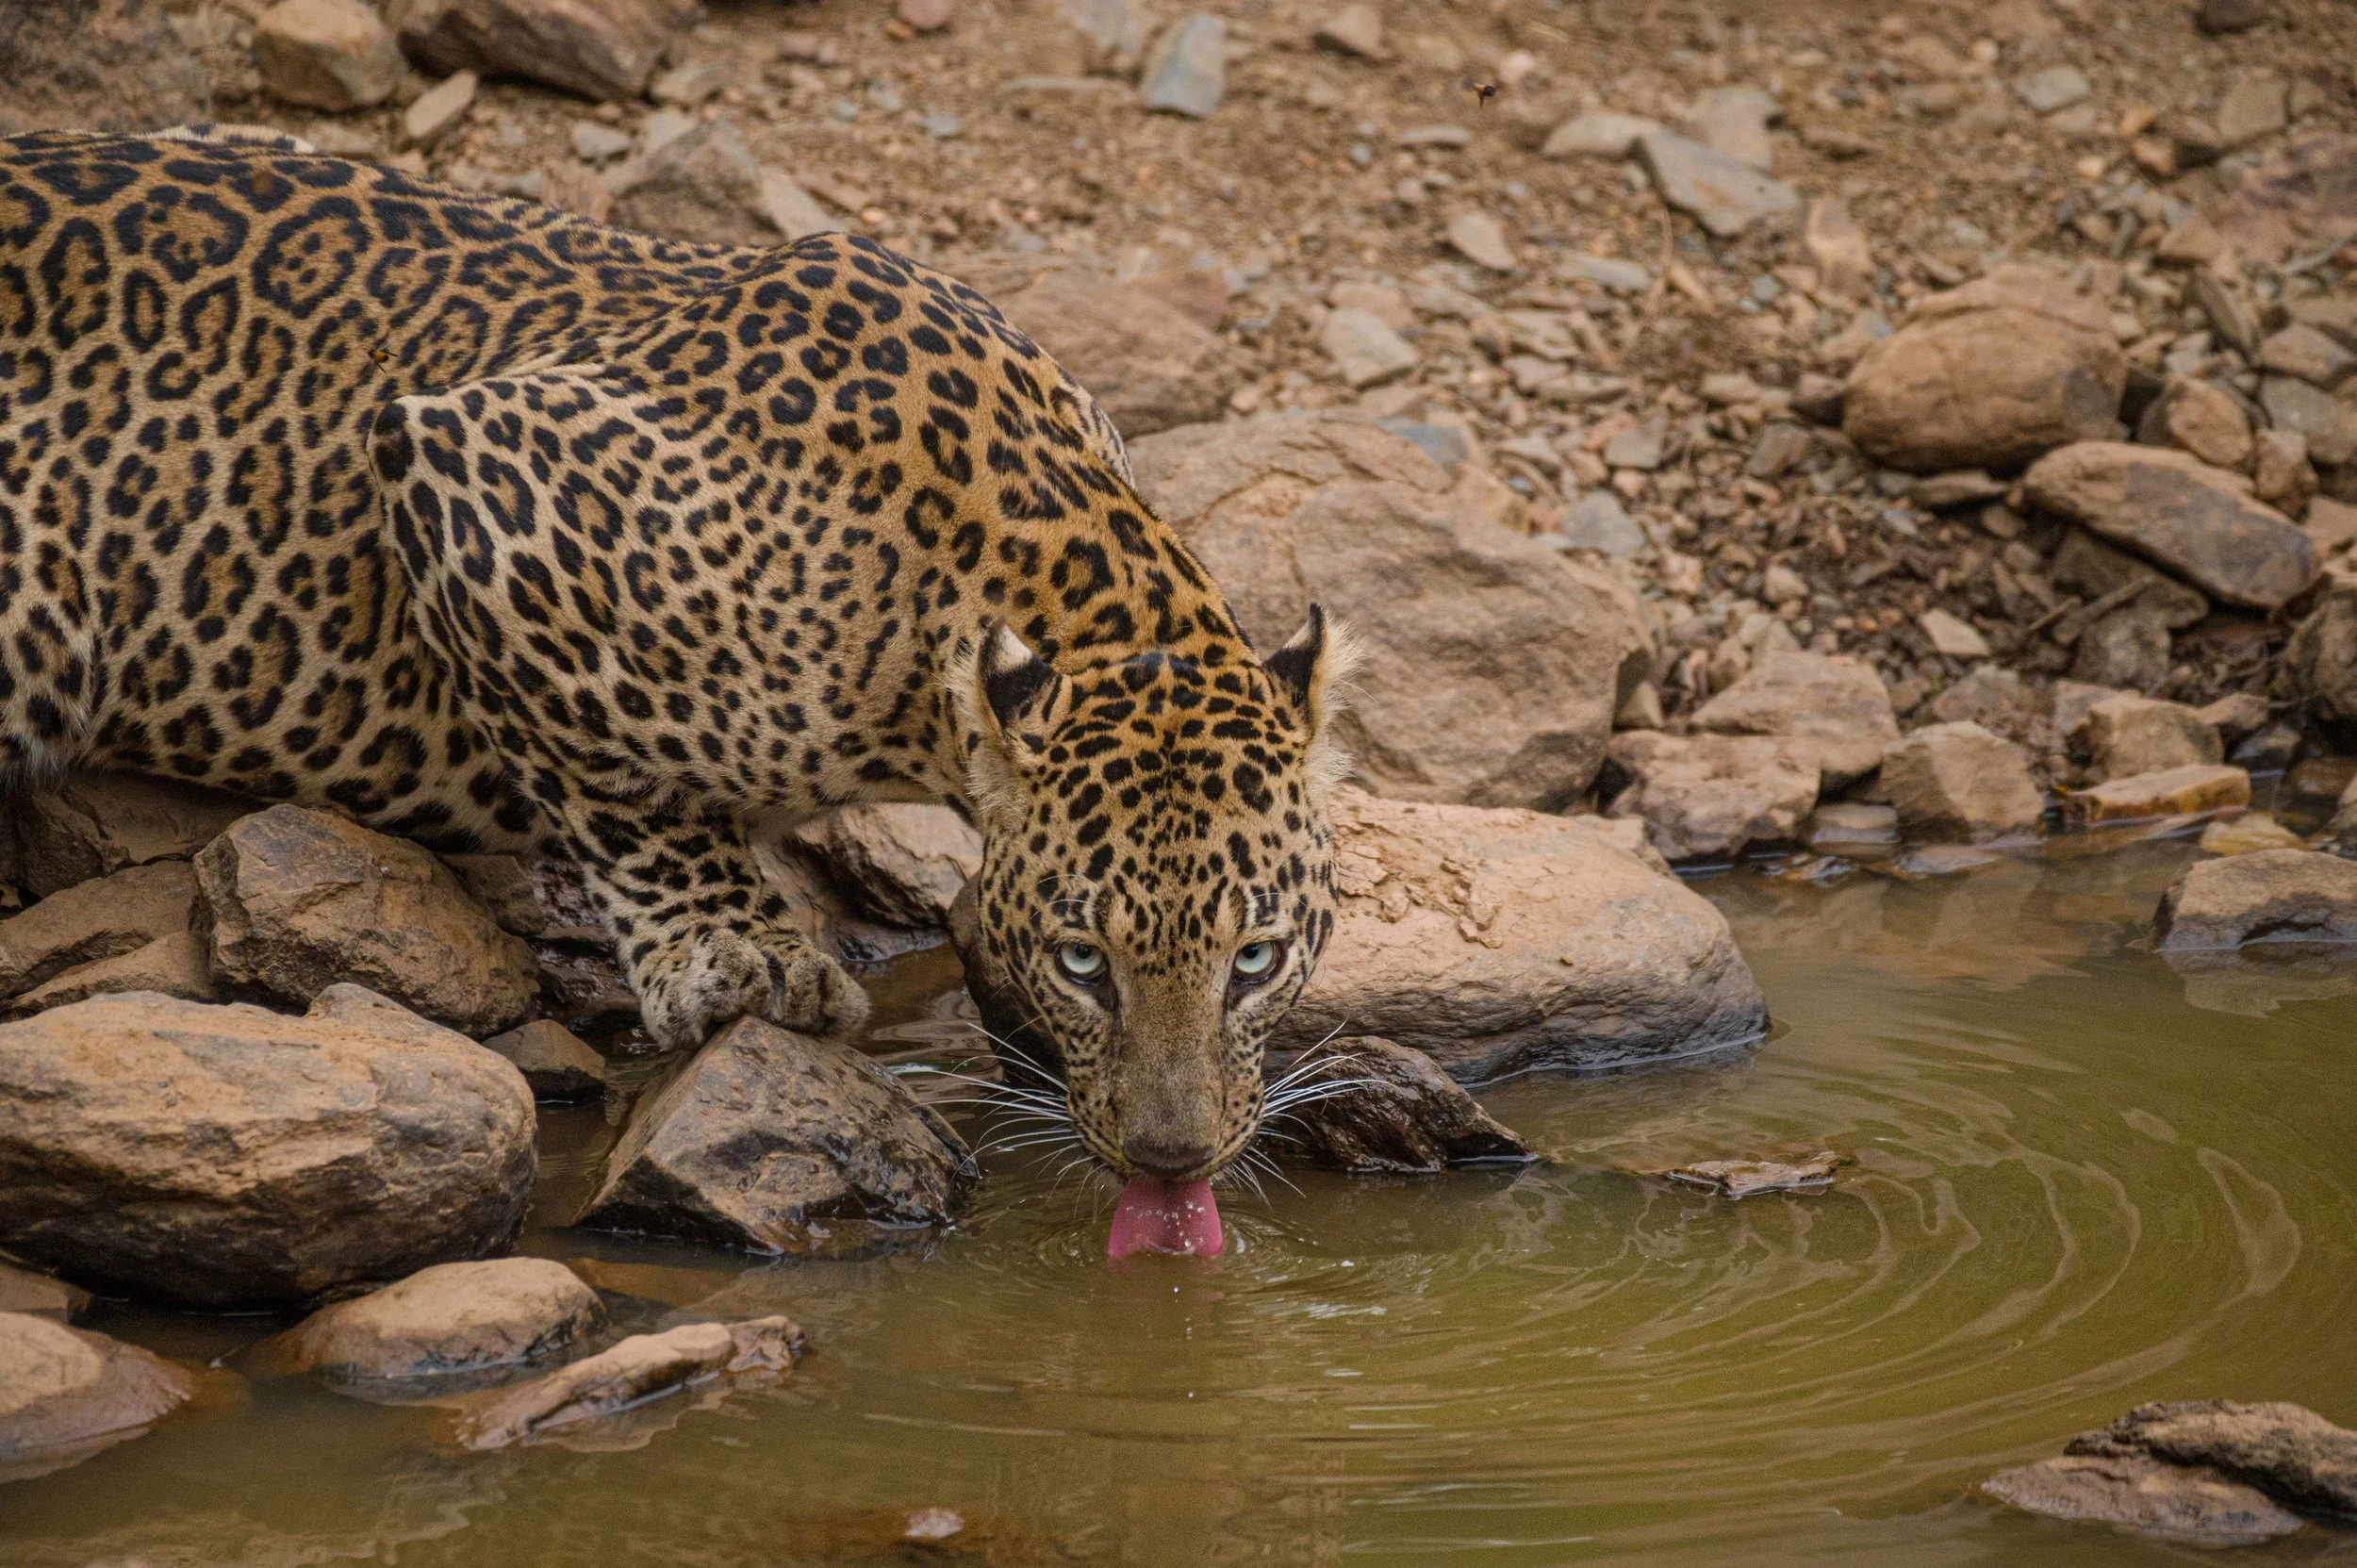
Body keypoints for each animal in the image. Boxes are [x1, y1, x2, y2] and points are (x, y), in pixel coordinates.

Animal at [0, 127, 1355, 1191]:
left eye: (1254, 961)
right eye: (1085, 963)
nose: (1173, 1161)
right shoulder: (477, 468)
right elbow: (624, 793)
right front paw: (739, 952)